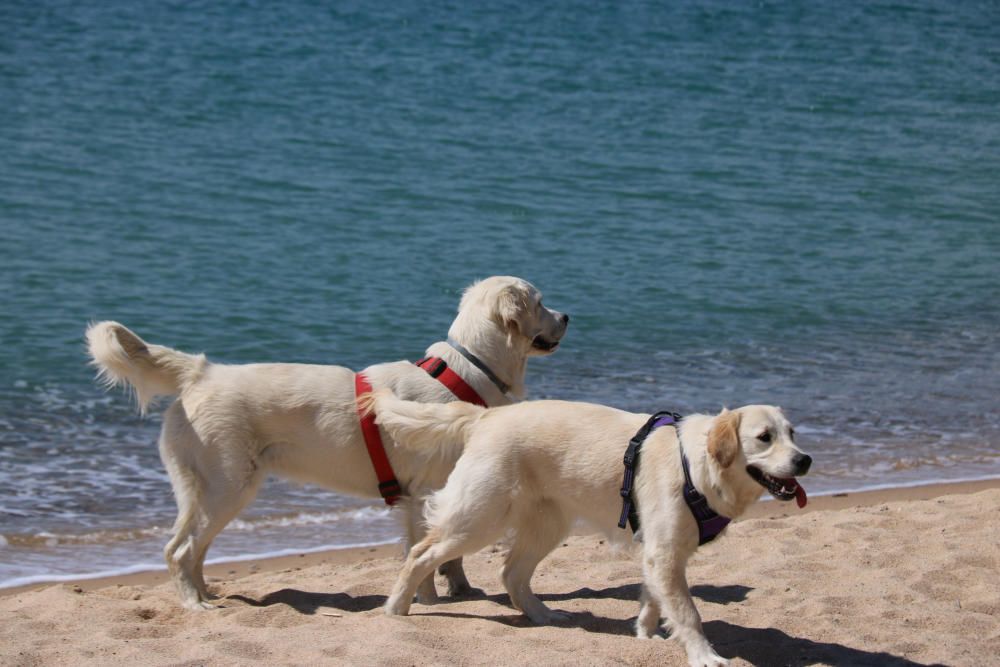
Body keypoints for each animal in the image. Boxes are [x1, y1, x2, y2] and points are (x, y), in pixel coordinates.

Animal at [84, 276, 572, 612]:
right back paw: (195, 603)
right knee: (180, 549)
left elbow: (450, 557)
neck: (465, 374)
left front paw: (463, 590)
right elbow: (424, 557)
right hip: (227, 486)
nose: (568, 316)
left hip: (215, 490)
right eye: (541, 302)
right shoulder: (421, 495)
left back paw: (207, 591)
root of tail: (202, 371)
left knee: (193, 549)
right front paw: (429, 602)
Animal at [368, 392, 812, 667]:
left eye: (792, 434)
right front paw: (704, 655)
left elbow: (654, 600)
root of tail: (486, 415)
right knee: (420, 553)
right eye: (764, 437)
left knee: (511, 573)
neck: (697, 464)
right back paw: (396, 608)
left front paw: (645, 635)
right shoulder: (664, 551)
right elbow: (688, 612)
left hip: (547, 523)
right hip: (481, 518)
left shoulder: (660, 551)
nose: (805, 460)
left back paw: (543, 616)